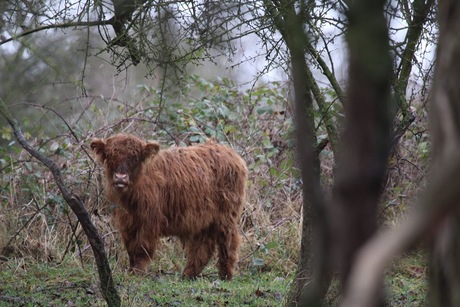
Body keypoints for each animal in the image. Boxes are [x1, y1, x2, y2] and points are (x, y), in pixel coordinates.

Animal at [90, 134, 248, 280]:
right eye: (110, 155)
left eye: (135, 157)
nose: (120, 178)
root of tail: (231, 154)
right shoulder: (127, 222)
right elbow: (131, 249)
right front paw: (131, 271)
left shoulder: (149, 221)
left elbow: (141, 247)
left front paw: (137, 273)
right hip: (203, 219)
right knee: (203, 245)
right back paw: (188, 275)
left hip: (226, 215)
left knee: (229, 240)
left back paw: (225, 275)